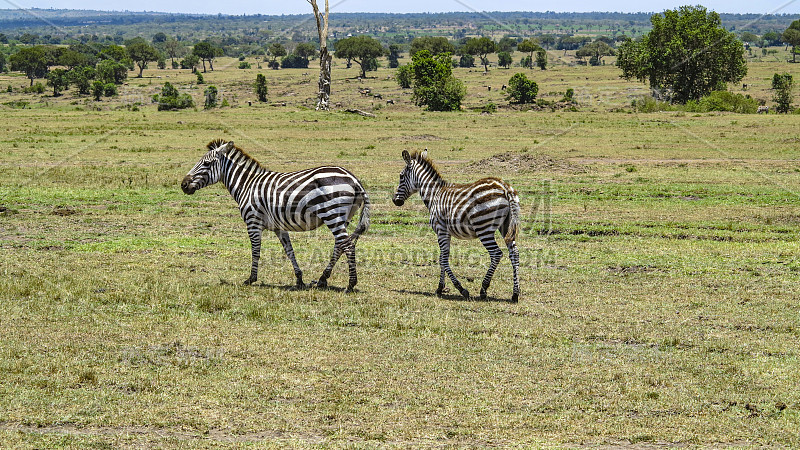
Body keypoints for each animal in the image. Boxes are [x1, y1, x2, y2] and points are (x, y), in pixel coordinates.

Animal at [180, 139, 368, 290]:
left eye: (206, 164)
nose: (183, 185)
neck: (247, 185)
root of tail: (354, 179)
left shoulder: (253, 222)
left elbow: (256, 251)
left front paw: (251, 279)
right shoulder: (279, 227)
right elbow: (289, 251)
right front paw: (299, 280)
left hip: (332, 214)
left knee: (347, 246)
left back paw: (351, 284)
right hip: (343, 217)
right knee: (340, 245)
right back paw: (322, 279)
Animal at [392, 149, 520, 302]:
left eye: (401, 176)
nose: (394, 201)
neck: (434, 195)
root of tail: (505, 187)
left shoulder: (441, 230)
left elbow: (443, 258)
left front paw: (458, 289)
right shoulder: (446, 233)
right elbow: (443, 258)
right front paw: (441, 288)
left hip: (483, 228)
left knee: (496, 253)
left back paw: (483, 289)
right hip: (506, 225)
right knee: (514, 253)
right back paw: (515, 293)